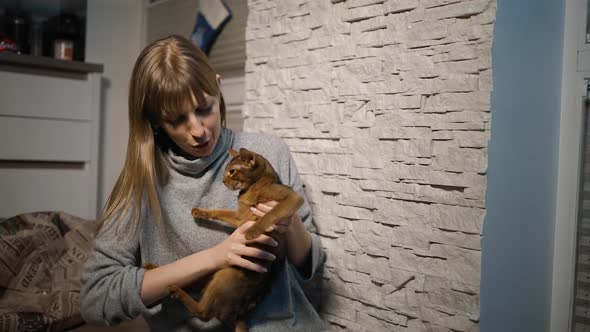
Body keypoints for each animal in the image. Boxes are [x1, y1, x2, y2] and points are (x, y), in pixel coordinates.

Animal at [143, 148, 302, 332]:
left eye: (231, 171)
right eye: (226, 172)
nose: (224, 181)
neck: (251, 188)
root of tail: (240, 313)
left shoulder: (292, 198)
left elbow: (270, 214)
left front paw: (253, 231)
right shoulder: (240, 218)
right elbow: (220, 212)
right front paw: (201, 212)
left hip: (224, 275)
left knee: (204, 313)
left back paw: (175, 290)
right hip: (214, 273)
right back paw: (154, 269)